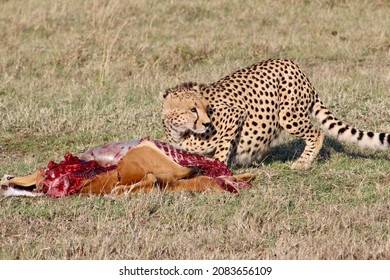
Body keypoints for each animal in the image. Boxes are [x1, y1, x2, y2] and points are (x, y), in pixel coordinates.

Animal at [159, 58, 390, 170]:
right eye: (192, 109)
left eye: (205, 108)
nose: (207, 124)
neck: (181, 131)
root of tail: (291, 63)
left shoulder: (234, 115)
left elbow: (222, 148)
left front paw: (220, 168)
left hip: (288, 116)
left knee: (317, 133)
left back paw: (303, 163)